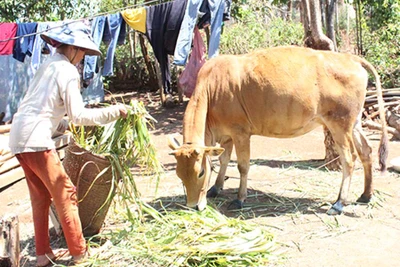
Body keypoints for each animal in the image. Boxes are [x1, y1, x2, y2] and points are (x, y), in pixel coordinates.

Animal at [169, 46, 388, 216]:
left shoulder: (241, 133)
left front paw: (239, 199)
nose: (193, 206)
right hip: (354, 124)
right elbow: (223, 160)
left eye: (200, 172)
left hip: (339, 126)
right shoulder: (226, 135)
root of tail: (351, 58)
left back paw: (339, 203)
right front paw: (216, 187)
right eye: (179, 174)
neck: (211, 89)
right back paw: (366, 195)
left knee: (349, 159)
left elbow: (242, 166)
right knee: (366, 151)